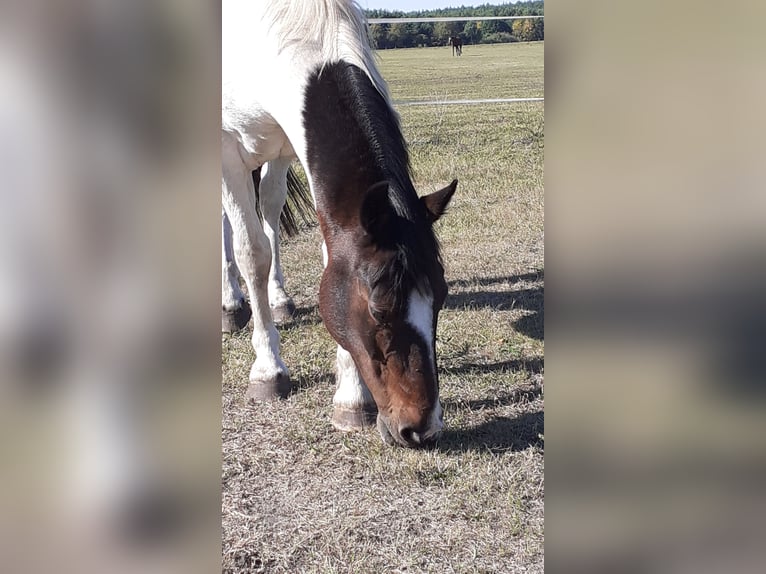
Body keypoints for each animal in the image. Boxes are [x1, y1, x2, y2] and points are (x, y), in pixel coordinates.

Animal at [223, 0, 458, 447]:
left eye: (441, 296)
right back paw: (230, 304)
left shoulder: (292, 147)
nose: (422, 428)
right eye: (379, 310)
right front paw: (267, 371)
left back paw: (278, 301)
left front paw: (351, 396)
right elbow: (251, 253)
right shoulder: (227, 152)